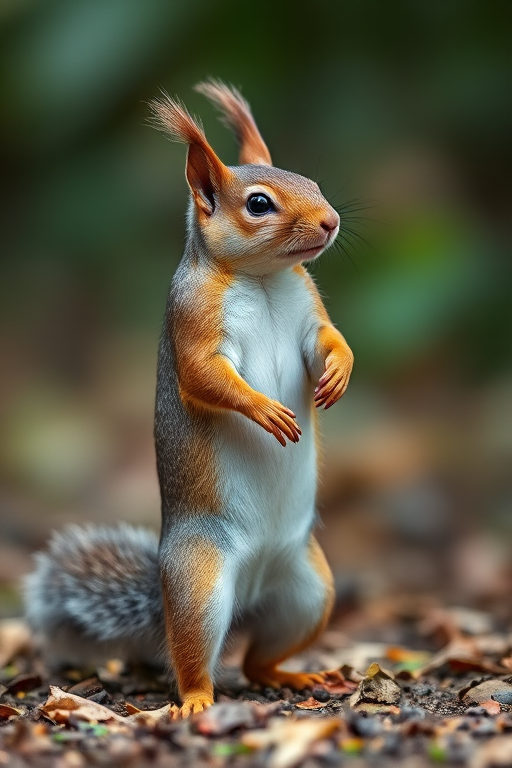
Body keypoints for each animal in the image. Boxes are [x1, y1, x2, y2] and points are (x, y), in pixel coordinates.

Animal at [24, 80, 354, 718]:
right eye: (258, 204)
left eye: (311, 181)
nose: (329, 221)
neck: (264, 279)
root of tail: (249, 590)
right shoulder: (192, 320)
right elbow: (205, 377)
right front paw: (265, 410)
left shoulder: (308, 312)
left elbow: (326, 341)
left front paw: (340, 373)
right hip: (200, 586)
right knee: (196, 658)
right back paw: (197, 701)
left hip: (308, 593)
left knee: (258, 660)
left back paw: (298, 675)